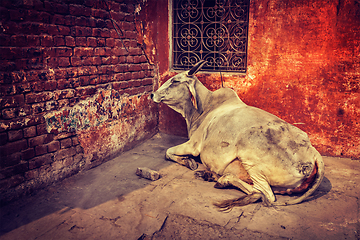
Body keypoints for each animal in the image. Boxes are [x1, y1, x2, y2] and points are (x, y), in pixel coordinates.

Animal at [150, 60, 324, 210]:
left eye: (175, 81)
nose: (152, 94)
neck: (203, 108)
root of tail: (313, 152)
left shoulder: (194, 145)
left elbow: (167, 152)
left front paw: (188, 162)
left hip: (250, 152)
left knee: (263, 193)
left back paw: (222, 179)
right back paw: (210, 175)